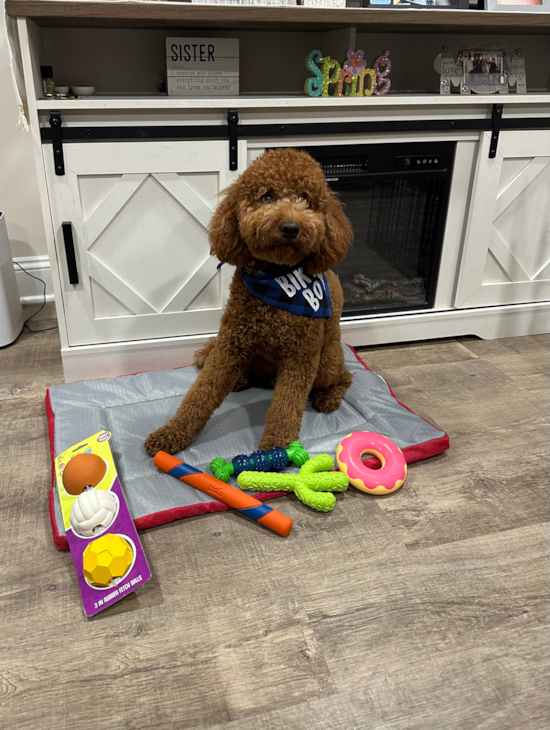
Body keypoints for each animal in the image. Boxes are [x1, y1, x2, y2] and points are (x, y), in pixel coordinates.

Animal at [144, 148, 356, 456]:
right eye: (267, 196)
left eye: (306, 200)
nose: (290, 227)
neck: (277, 281)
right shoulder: (230, 345)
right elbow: (200, 394)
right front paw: (171, 433)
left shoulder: (301, 357)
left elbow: (286, 407)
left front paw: (275, 452)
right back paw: (243, 380)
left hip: (326, 361)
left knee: (345, 377)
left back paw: (328, 398)